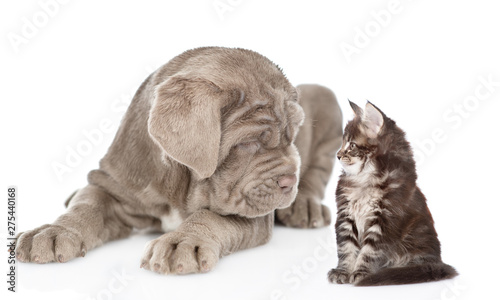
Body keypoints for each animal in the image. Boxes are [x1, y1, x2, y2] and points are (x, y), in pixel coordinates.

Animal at [16, 47, 344, 274]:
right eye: (246, 143)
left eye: (293, 135)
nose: (289, 182)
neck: (180, 183)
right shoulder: (114, 184)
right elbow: (87, 204)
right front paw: (53, 231)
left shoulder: (252, 213)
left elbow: (211, 217)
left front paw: (185, 242)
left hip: (327, 102)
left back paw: (305, 206)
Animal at [326, 101, 458, 286]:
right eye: (343, 143)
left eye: (351, 145)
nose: (338, 155)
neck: (366, 180)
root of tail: (437, 262)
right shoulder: (346, 215)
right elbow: (346, 248)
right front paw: (343, 271)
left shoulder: (385, 219)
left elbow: (369, 252)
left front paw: (362, 273)